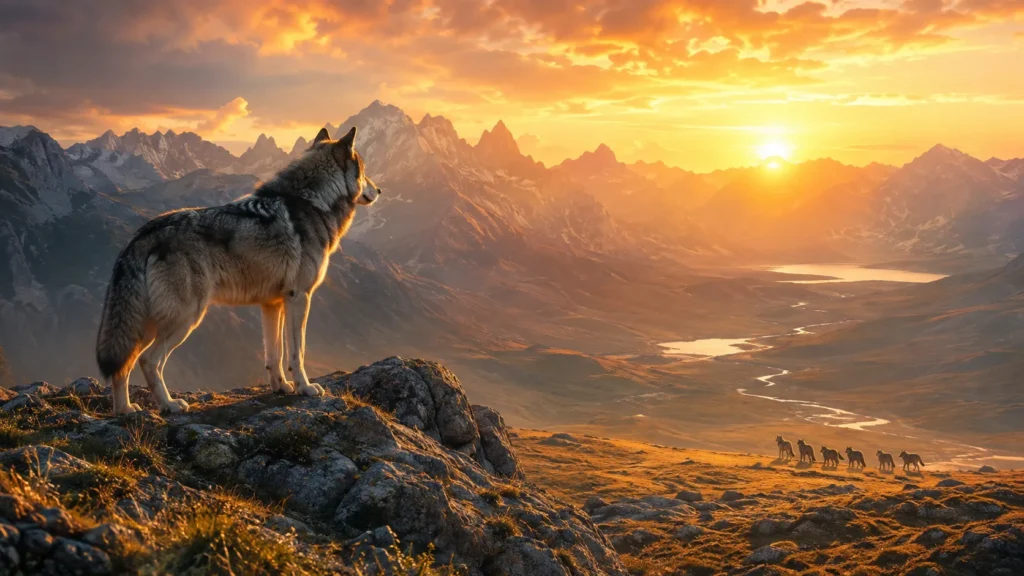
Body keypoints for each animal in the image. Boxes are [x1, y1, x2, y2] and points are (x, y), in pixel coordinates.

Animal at [96, 127, 381, 415]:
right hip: (186, 319)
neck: (313, 201)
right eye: (364, 170)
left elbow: (274, 354)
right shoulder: (299, 297)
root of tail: (142, 235)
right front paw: (305, 388)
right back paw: (169, 404)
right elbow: (297, 352)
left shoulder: (273, 303)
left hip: (146, 326)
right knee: (148, 361)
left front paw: (281, 386)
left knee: (123, 366)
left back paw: (125, 410)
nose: (379, 189)